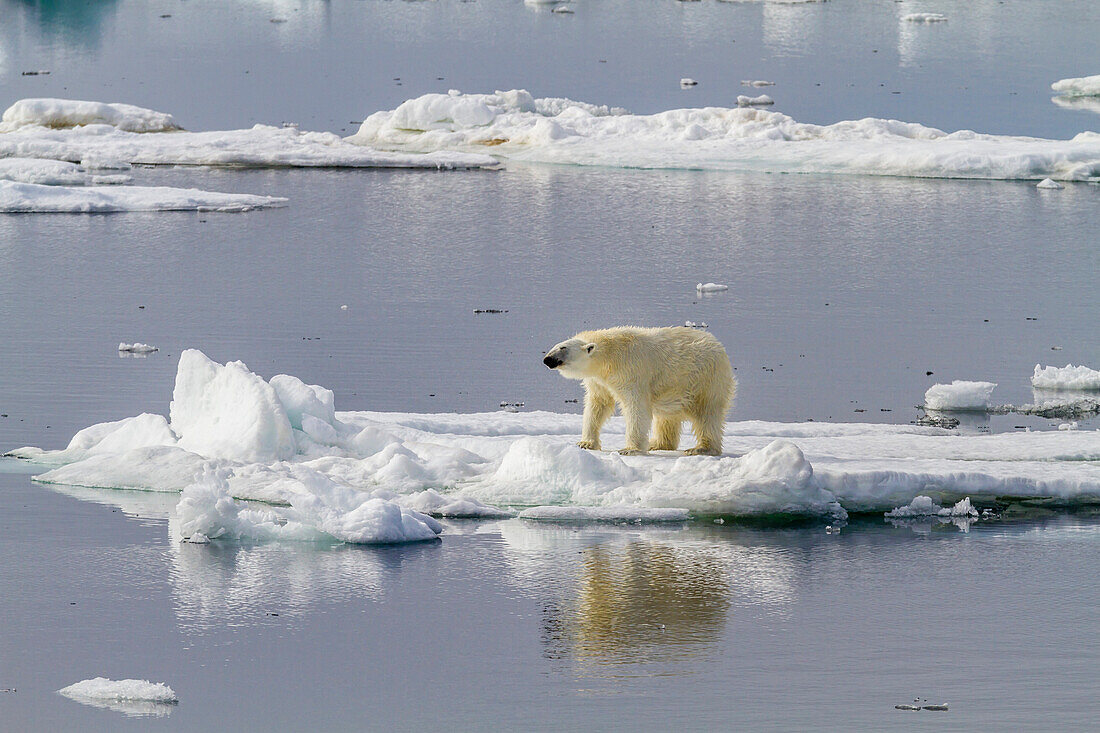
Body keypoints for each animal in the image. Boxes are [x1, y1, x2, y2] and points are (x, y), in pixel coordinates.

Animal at [543, 323, 734, 453]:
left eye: (563, 347)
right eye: (555, 345)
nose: (547, 359)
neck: (610, 355)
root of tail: (720, 347)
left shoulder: (631, 371)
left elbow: (636, 407)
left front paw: (630, 449)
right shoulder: (598, 380)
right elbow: (598, 405)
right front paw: (585, 443)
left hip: (703, 380)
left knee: (707, 414)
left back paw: (701, 448)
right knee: (667, 417)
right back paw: (657, 444)